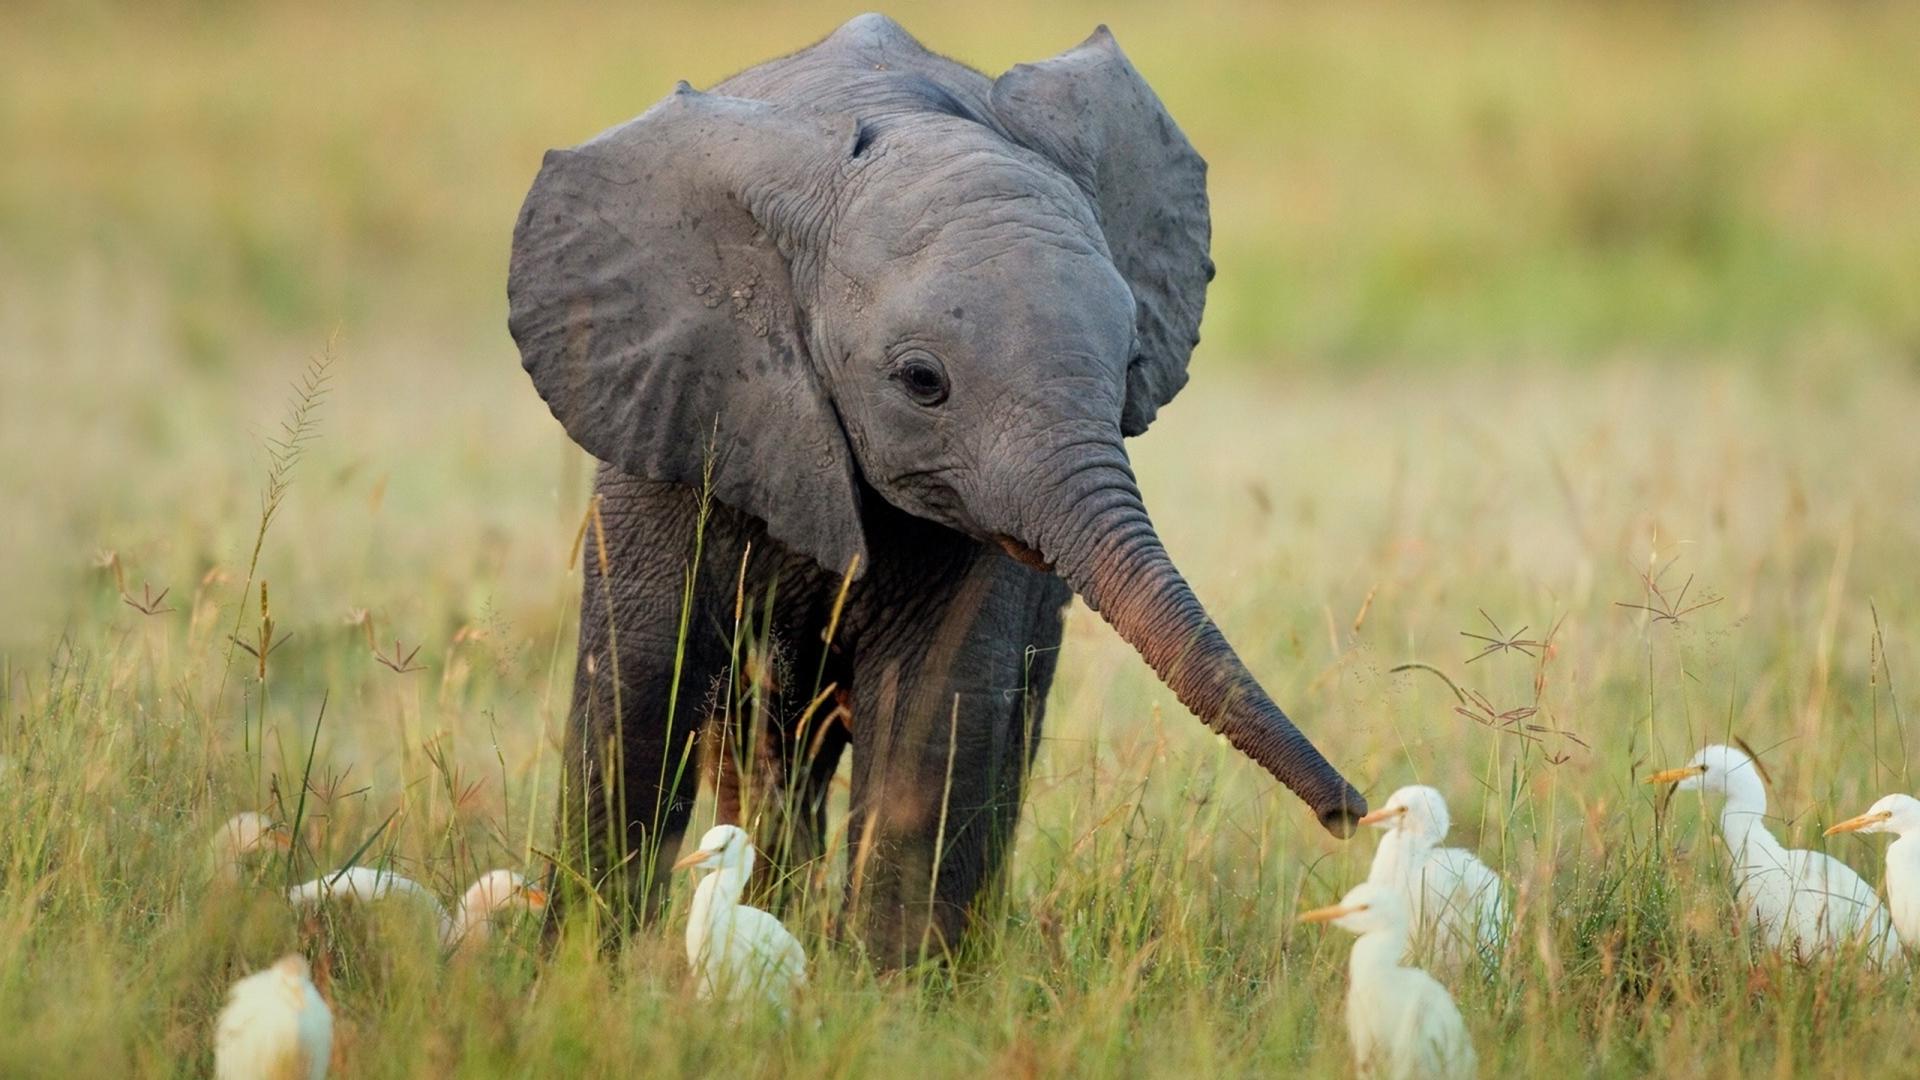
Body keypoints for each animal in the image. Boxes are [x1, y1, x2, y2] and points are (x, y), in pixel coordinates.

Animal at [507, 13, 1365, 963]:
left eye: (1132, 364)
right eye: (923, 382)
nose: (1350, 815)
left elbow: (938, 707)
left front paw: (892, 989)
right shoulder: (674, 405)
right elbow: (637, 688)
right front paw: (580, 970)